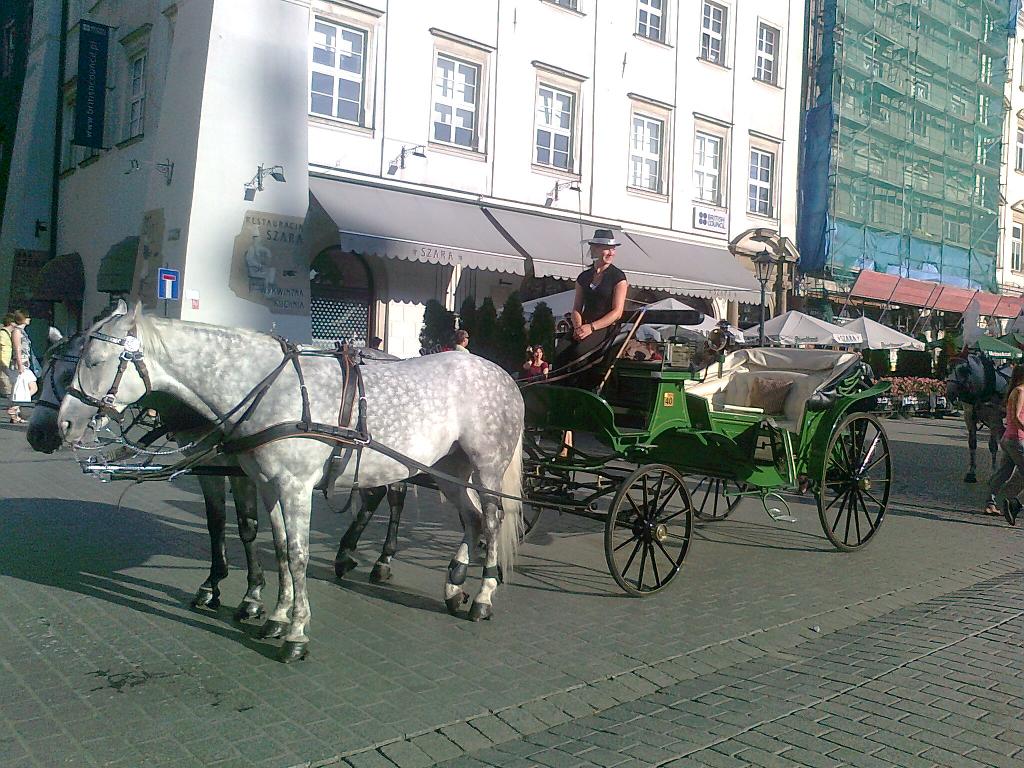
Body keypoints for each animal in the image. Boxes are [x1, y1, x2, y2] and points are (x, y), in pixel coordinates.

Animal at [58, 303, 520, 663]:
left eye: (94, 361)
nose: (64, 424)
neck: (266, 387)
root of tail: (502, 375)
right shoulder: (267, 485)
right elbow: (279, 548)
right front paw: (276, 617)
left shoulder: (295, 487)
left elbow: (297, 556)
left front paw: (296, 633)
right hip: (449, 470)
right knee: (470, 519)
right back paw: (454, 586)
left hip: (487, 469)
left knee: (491, 519)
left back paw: (482, 596)